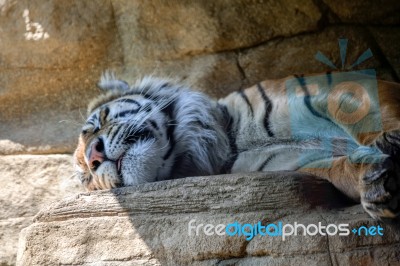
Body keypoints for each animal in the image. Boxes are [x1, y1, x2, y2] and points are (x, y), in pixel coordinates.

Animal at [72, 72, 400, 220]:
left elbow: (376, 117)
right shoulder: (303, 163)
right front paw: (374, 185)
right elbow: (343, 168)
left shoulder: (343, 91)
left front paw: (390, 142)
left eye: (97, 124)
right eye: (87, 177)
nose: (94, 157)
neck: (228, 143)